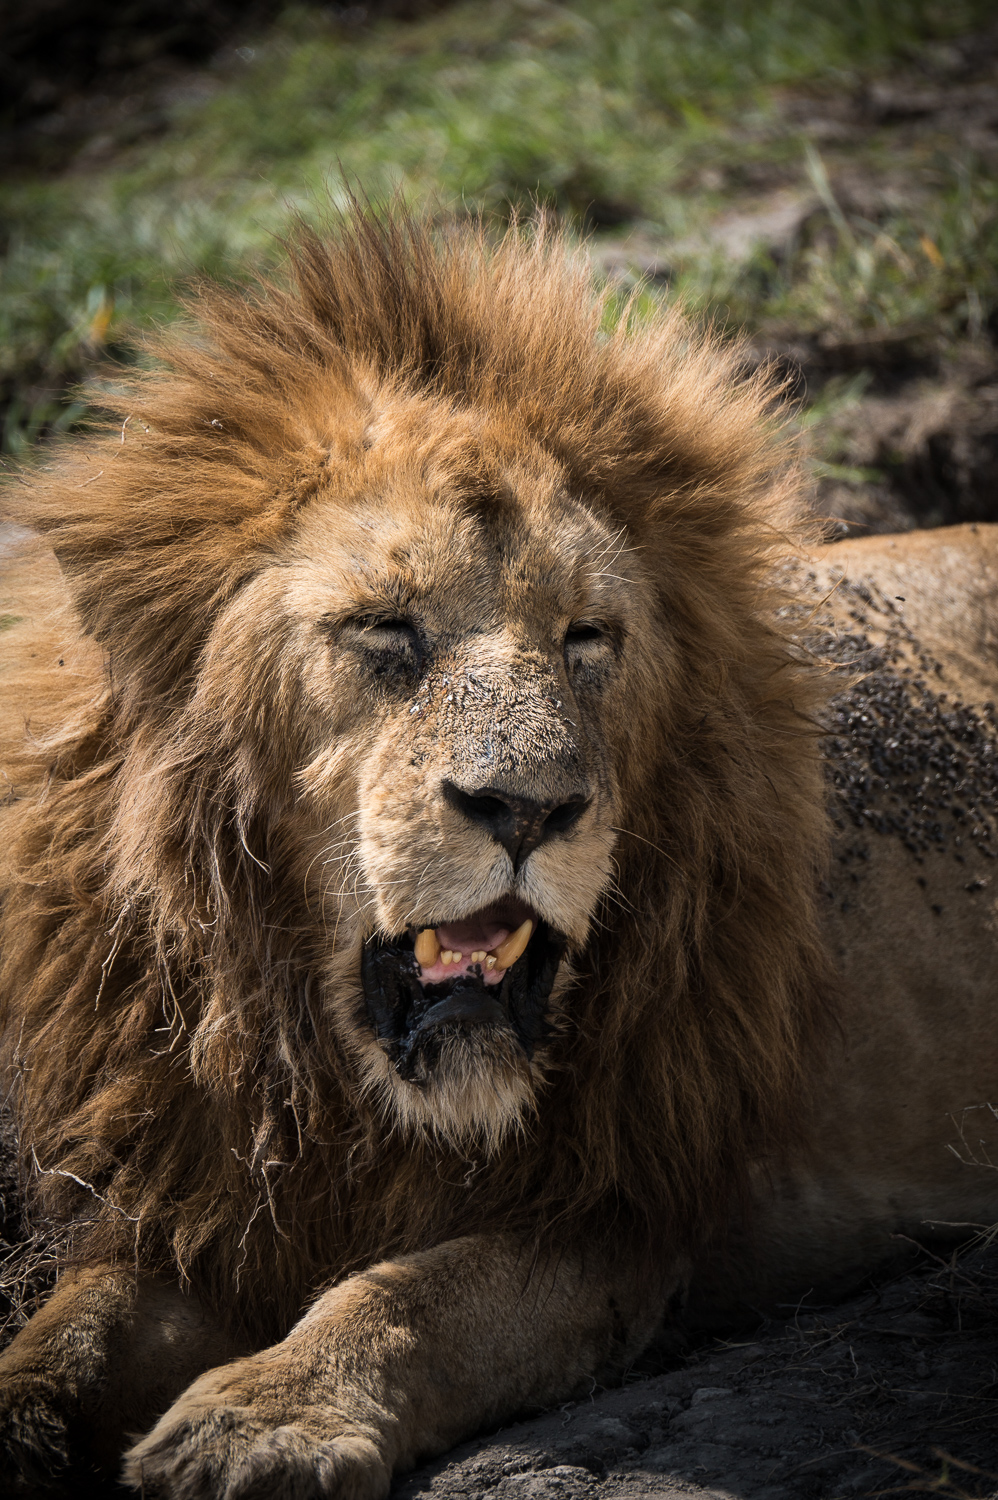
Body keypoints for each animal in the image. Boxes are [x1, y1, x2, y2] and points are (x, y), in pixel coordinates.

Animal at [0, 205, 990, 1494]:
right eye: (384, 627)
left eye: (585, 636)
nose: (527, 810)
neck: (320, 1079)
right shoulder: (198, 1206)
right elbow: (66, 1335)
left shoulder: (618, 1216)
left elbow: (409, 1298)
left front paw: (262, 1419)